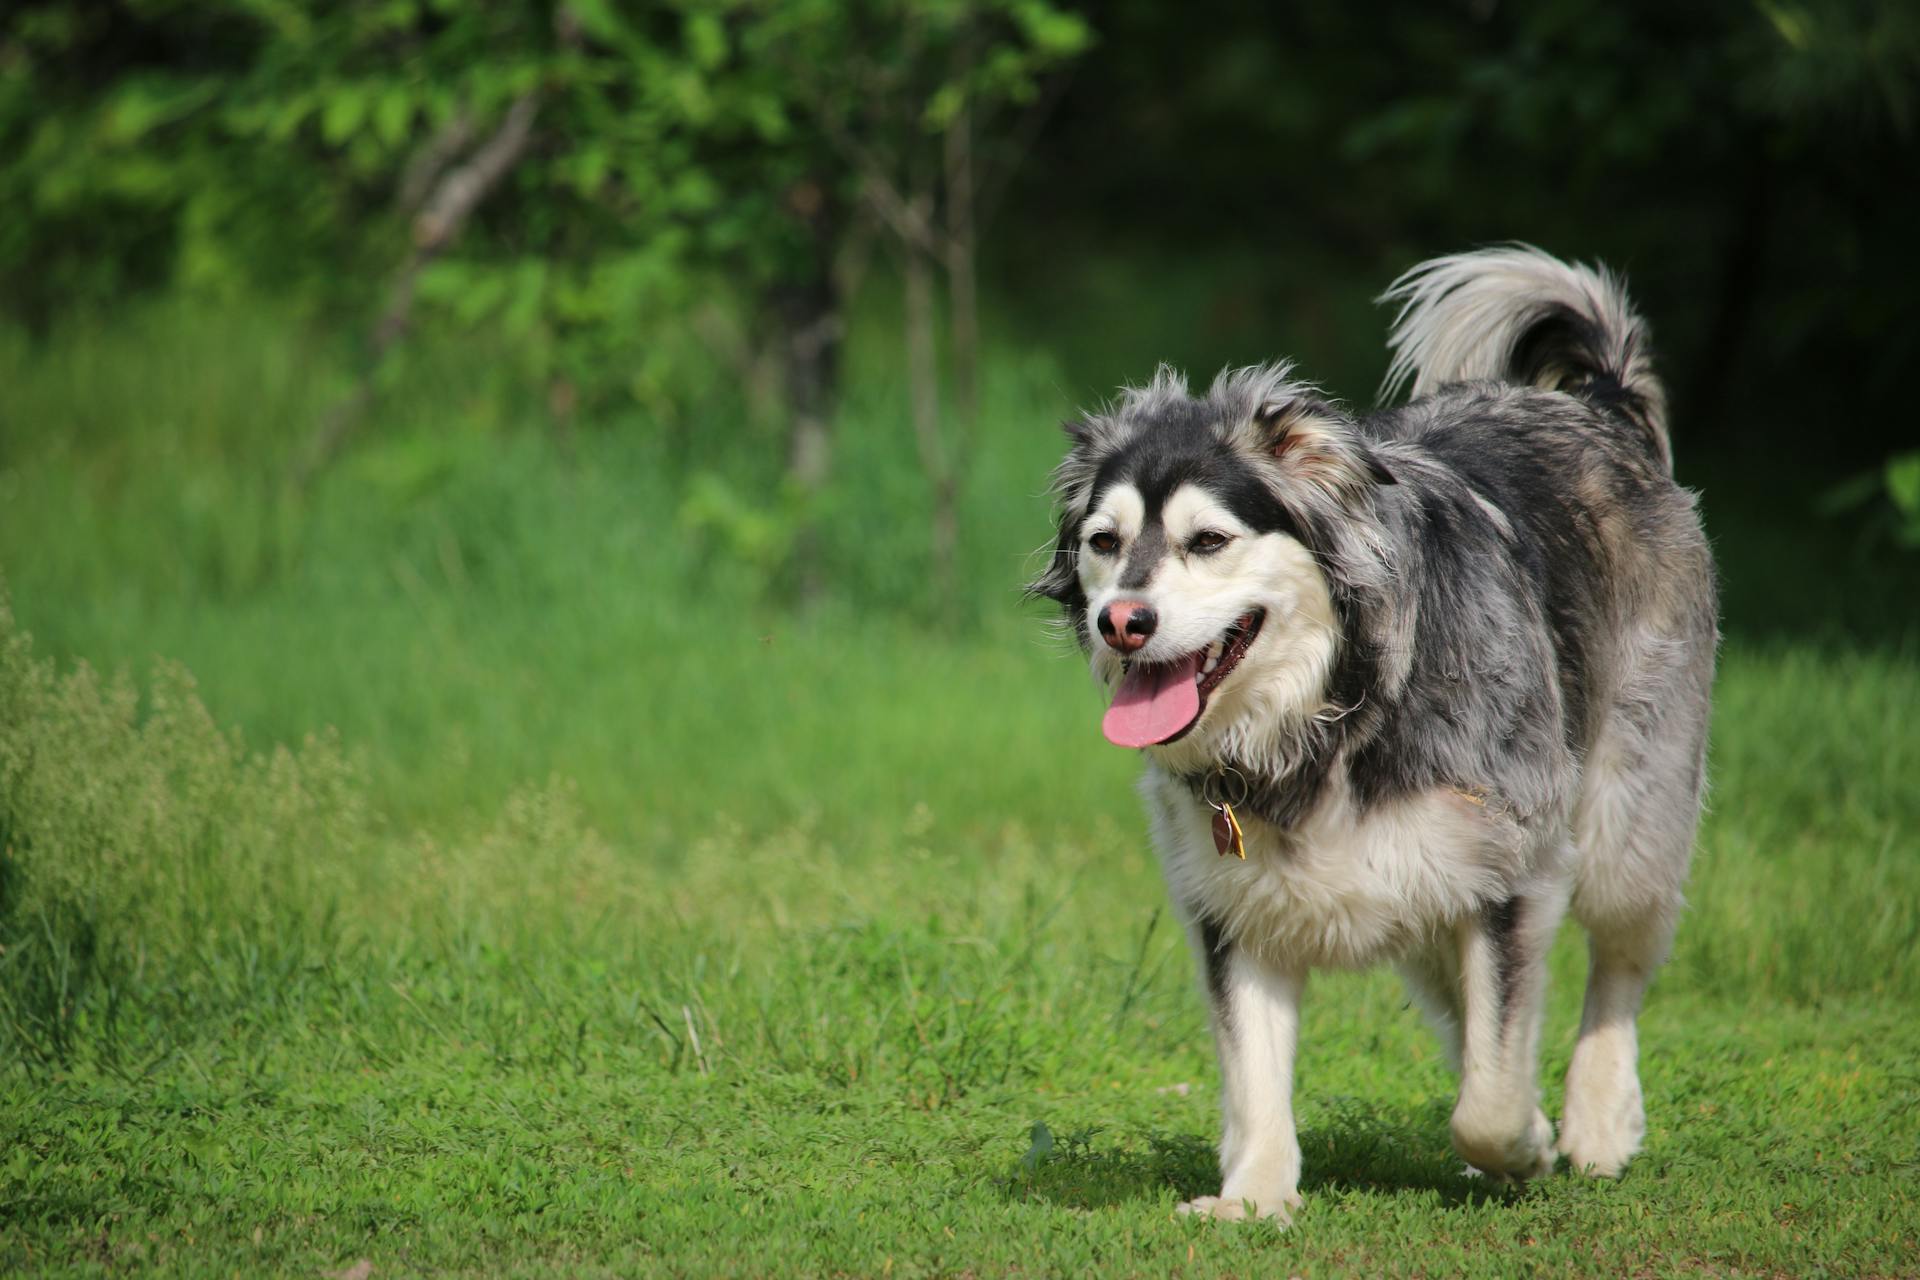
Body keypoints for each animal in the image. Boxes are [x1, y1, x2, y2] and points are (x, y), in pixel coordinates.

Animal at [1036, 247, 1728, 1220]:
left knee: (1617, 970)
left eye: (1208, 540)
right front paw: (1253, 1197)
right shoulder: (1231, 906)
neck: (1333, 711)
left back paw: (1596, 1122)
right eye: (1103, 541)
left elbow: (1489, 1095)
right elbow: (1256, 1071)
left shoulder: (1511, 871)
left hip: (1630, 818)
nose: (1121, 623)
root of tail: (1596, 404)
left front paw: (1525, 1144)